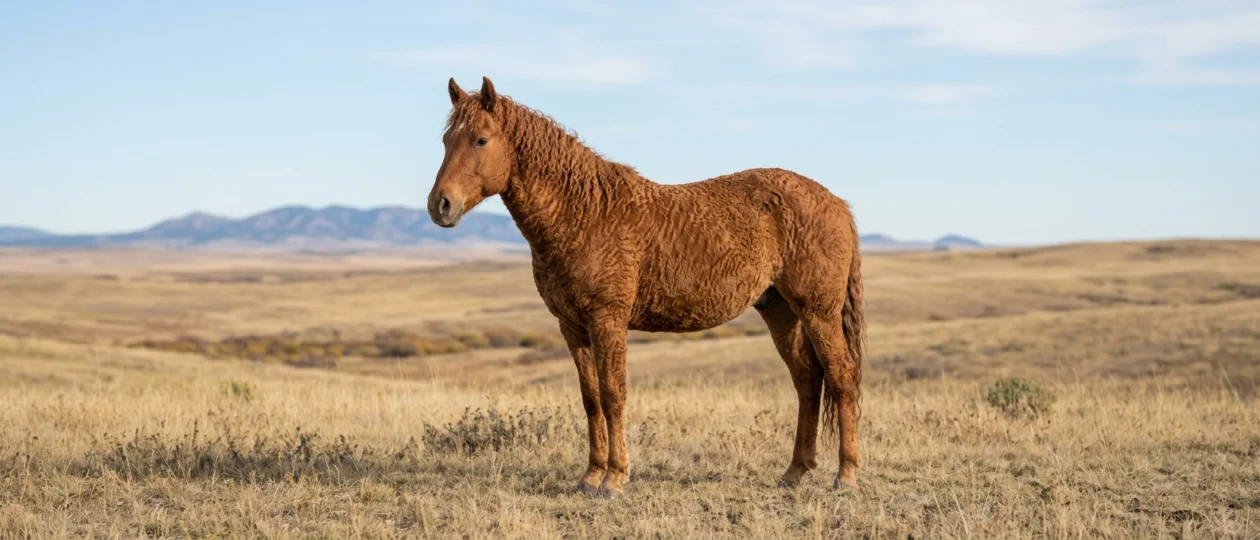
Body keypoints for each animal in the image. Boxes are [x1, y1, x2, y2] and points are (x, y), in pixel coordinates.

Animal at [427, 76, 866, 497]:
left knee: (841, 376)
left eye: (481, 140)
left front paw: (614, 479)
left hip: (818, 311)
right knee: (807, 380)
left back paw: (845, 476)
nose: (439, 206)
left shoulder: (608, 319)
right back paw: (794, 472)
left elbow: (613, 395)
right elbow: (591, 399)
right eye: (446, 140)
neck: (584, 213)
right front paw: (590, 477)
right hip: (780, 311)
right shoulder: (572, 327)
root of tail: (837, 203)